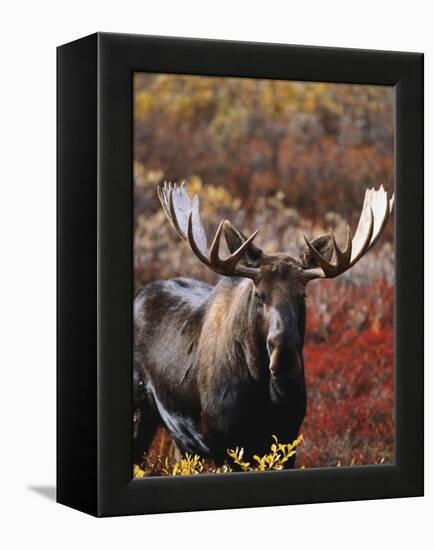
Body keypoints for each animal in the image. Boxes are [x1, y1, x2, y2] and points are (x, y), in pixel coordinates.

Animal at [133, 183, 394, 468]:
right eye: (259, 294)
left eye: (303, 295)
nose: (284, 356)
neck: (262, 393)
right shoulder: (224, 444)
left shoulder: (288, 439)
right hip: (141, 414)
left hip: (181, 441)